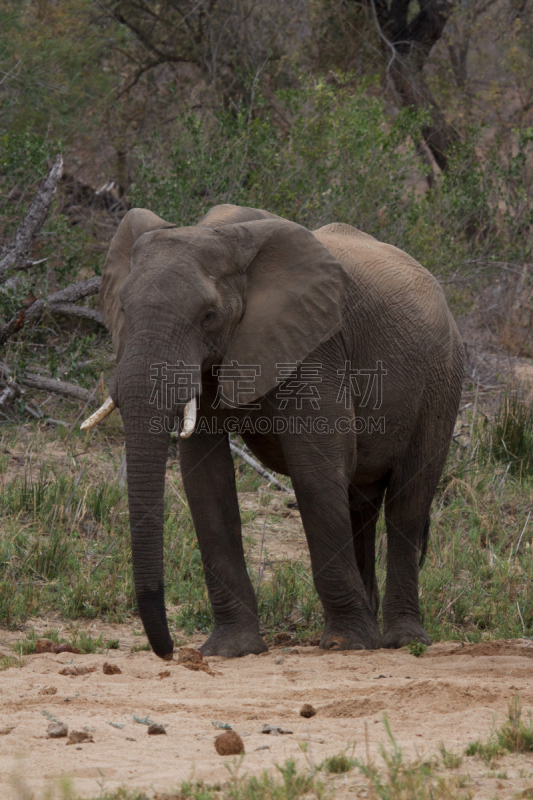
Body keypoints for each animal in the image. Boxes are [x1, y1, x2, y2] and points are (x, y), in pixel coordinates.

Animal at [82, 203, 462, 660]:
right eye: (122, 309)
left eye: (209, 316)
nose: (170, 651)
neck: (220, 234)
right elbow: (205, 479)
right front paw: (231, 650)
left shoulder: (316, 347)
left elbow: (316, 470)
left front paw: (346, 644)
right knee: (361, 503)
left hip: (441, 381)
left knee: (408, 500)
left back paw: (401, 641)